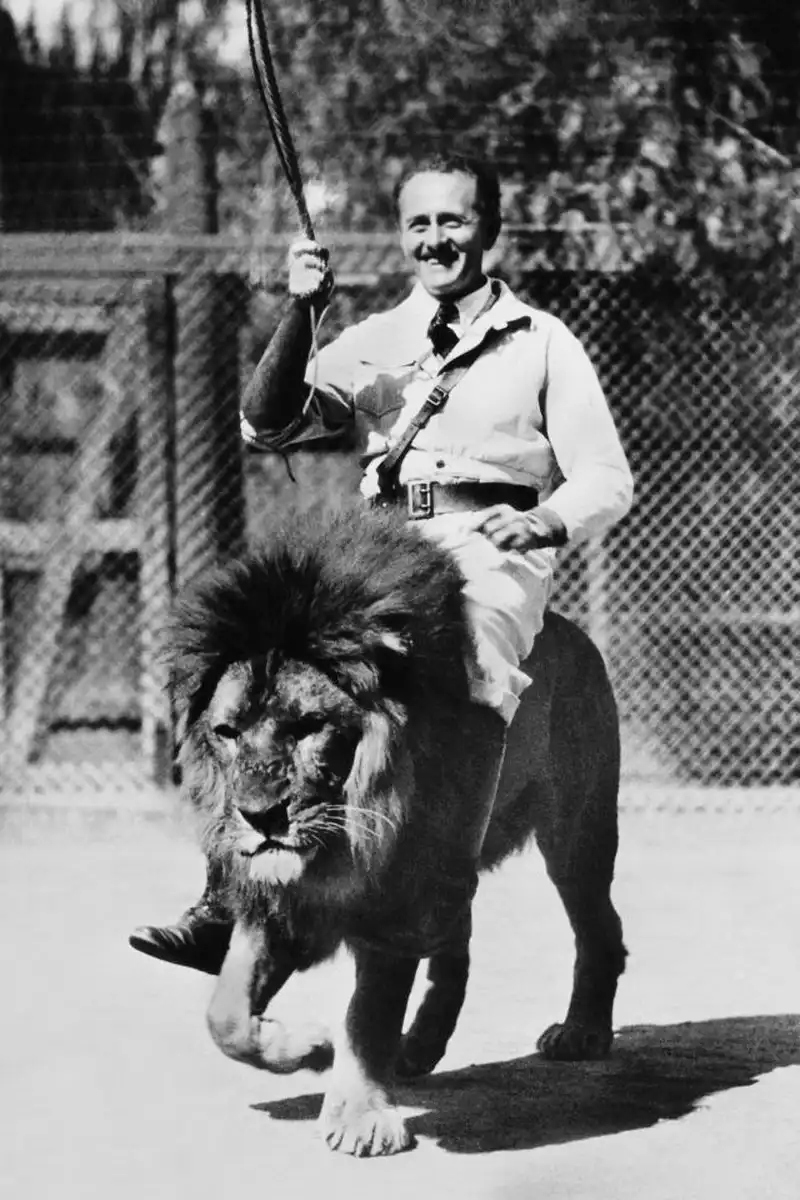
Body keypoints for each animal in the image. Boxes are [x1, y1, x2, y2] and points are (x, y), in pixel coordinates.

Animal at [169, 503, 627, 1157]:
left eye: (308, 726)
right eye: (227, 732)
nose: (259, 816)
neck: (346, 832)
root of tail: (573, 631)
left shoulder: (395, 894)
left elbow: (369, 1013)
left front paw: (361, 1117)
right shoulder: (275, 898)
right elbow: (225, 1016)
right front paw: (308, 1048)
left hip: (572, 834)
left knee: (598, 931)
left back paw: (582, 1032)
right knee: (456, 947)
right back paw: (417, 1049)